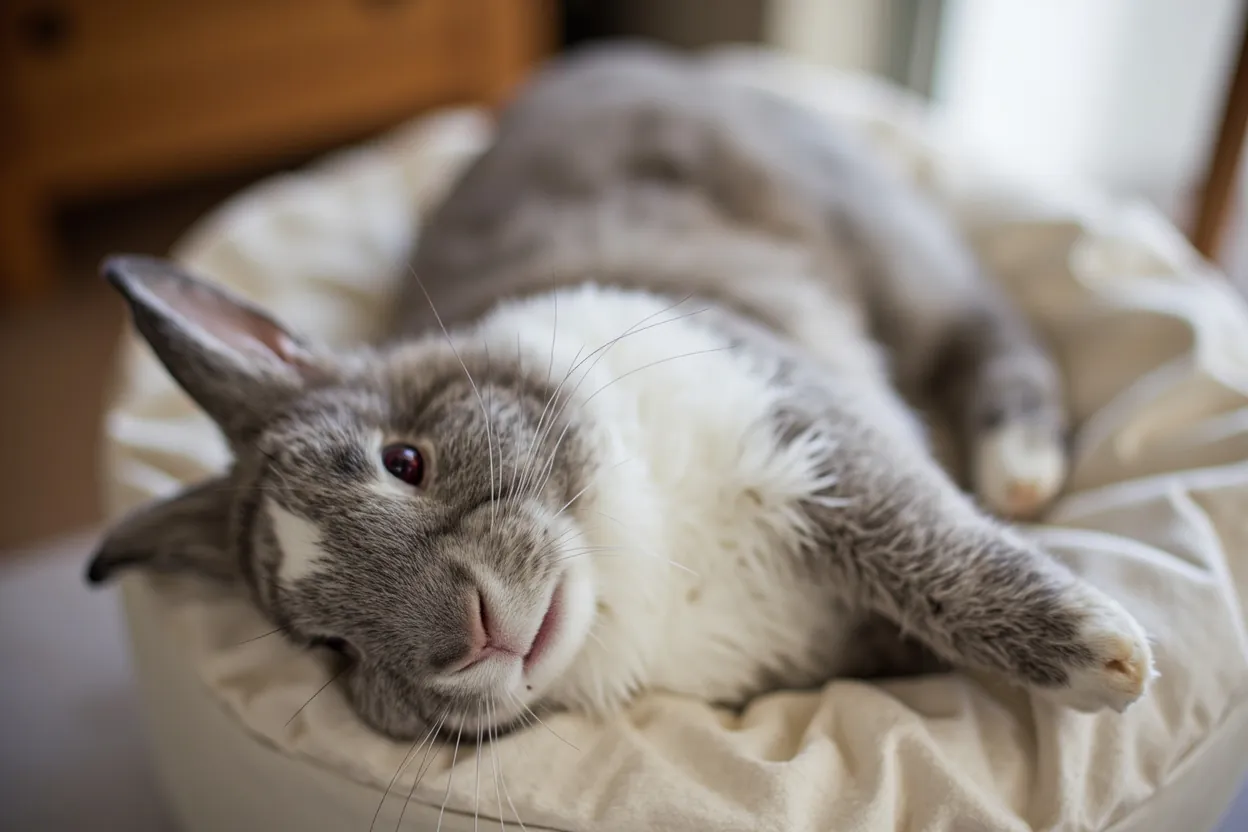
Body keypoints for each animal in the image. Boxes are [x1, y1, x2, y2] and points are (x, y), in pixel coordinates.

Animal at [89, 43, 1154, 742]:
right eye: (328, 646)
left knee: (993, 333)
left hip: (894, 259)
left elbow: (929, 548)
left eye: (406, 460)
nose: (468, 638)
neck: (627, 562)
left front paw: (1107, 661)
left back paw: (1021, 473)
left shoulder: (808, 427)